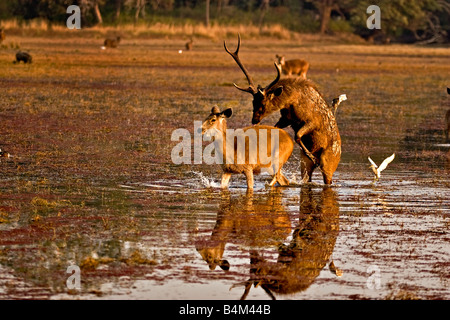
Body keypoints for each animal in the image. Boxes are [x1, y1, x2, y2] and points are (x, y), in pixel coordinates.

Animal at [223, 34, 342, 185]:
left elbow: (297, 136)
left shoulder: (311, 121)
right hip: (305, 167)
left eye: (263, 103)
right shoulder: (286, 119)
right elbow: (279, 129)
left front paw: (312, 156)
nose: (254, 120)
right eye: (253, 102)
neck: (292, 103)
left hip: (329, 164)